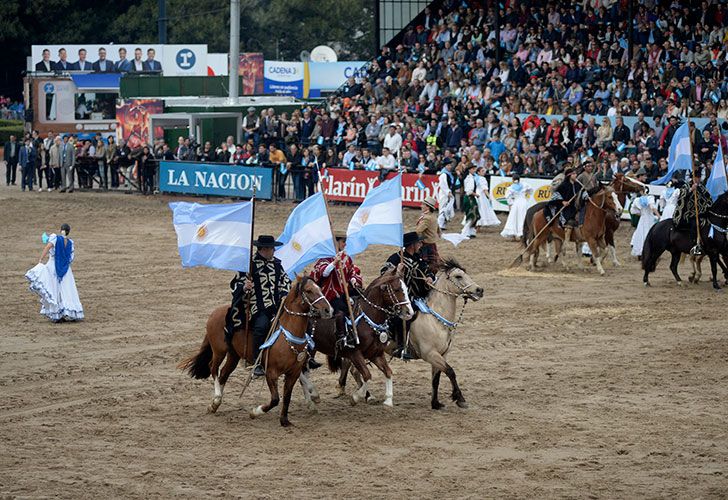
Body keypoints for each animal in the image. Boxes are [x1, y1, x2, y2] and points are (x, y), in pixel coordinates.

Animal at [179, 278, 332, 426]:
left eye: (320, 288)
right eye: (309, 290)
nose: (328, 310)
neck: (288, 336)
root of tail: (215, 312)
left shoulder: (293, 373)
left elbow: (287, 397)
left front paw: (285, 421)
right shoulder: (271, 372)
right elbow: (275, 399)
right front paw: (255, 412)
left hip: (233, 355)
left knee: (224, 373)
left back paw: (214, 405)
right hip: (219, 350)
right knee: (213, 368)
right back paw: (216, 398)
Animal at [308, 266, 416, 406]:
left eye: (406, 289)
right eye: (397, 289)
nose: (410, 312)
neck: (367, 319)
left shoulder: (375, 353)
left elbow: (387, 372)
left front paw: (387, 400)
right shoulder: (355, 353)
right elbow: (367, 375)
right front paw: (356, 397)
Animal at [340, 260, 484, 408]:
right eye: (458, 276)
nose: (479, 290)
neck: (435, 320)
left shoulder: (441, 354)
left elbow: (436, 379)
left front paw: (435, 403)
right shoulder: (430, 354)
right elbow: (450, 371)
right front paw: (460, 398)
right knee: (356, 371)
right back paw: (367, 396)